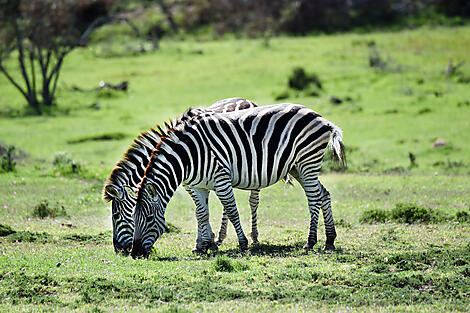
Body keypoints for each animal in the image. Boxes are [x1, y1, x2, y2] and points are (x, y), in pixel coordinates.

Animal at [102, 97, 260, 254]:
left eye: (116, 216)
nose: (118, 249)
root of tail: (245, 99)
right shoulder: (190, 183)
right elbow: (200, 211)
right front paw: (206, 242)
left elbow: (200, 211)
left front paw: (206, 242)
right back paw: (221, 237)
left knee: (253, 201)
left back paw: (254, 237)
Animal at [131, 102, 346, 258]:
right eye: (132, 218)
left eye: (149, 218)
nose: (135, 254)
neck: (188, 156)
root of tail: (320, 117)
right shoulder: (198, 186)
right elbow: (202, 214)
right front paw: (202, 246)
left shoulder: (220, 179)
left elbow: (232, 211)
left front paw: (242, 244)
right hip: (297, 168)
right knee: (324, 194)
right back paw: (329, 241)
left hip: (307, 161)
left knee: (314, 199)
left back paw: (311, 242)